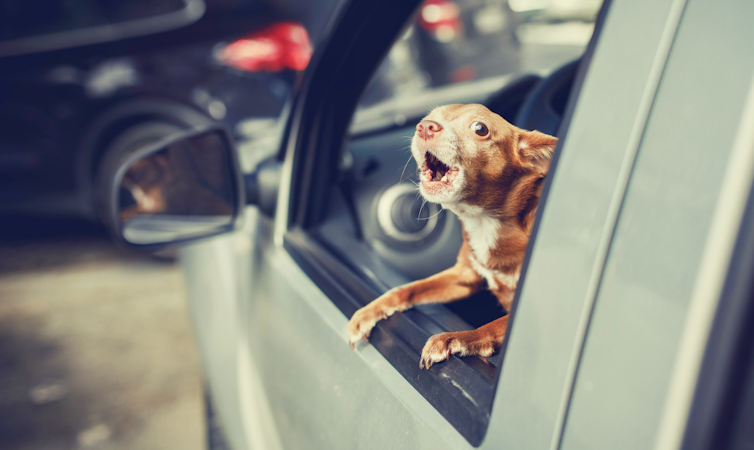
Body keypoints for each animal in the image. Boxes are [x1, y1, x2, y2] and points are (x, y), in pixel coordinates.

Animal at [344, 104, 556, 370]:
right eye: (429, 117)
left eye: (480, 128)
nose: (425, 126)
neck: (485, 222)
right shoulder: (463, 276)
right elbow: (408, 289)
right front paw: (369, 311)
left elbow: (494, 325)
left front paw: (456, 338)